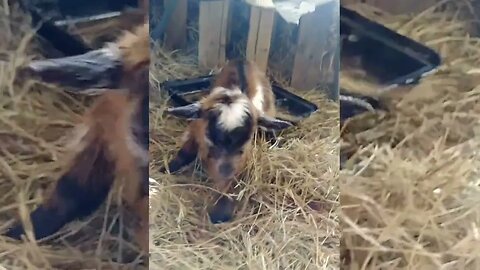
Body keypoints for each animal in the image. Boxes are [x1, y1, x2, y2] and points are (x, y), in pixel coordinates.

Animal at [162, 60, 292, 223]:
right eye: (211, 137)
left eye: (243, 145)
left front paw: (220, 212)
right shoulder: (196, 130)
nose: (225, 171)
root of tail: (242, 59)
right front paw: (165, 169)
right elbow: (185, 152)